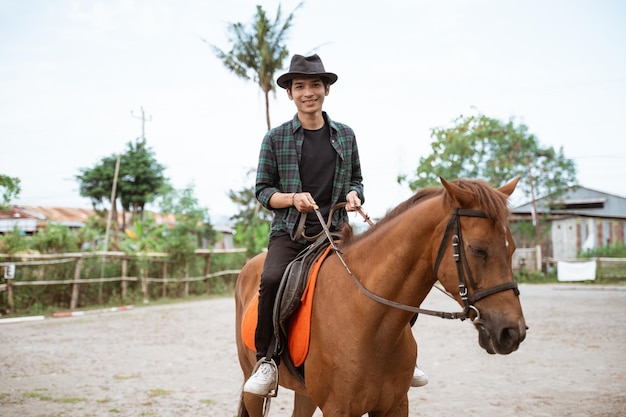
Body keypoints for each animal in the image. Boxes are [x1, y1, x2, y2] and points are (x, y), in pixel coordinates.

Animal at [234, 176, 528, 416]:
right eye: (478, 250)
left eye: (512, 248)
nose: (512, 332)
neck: (370, 322)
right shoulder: (338, 409)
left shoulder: (395, 405)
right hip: (252, 387)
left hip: (305, 394)